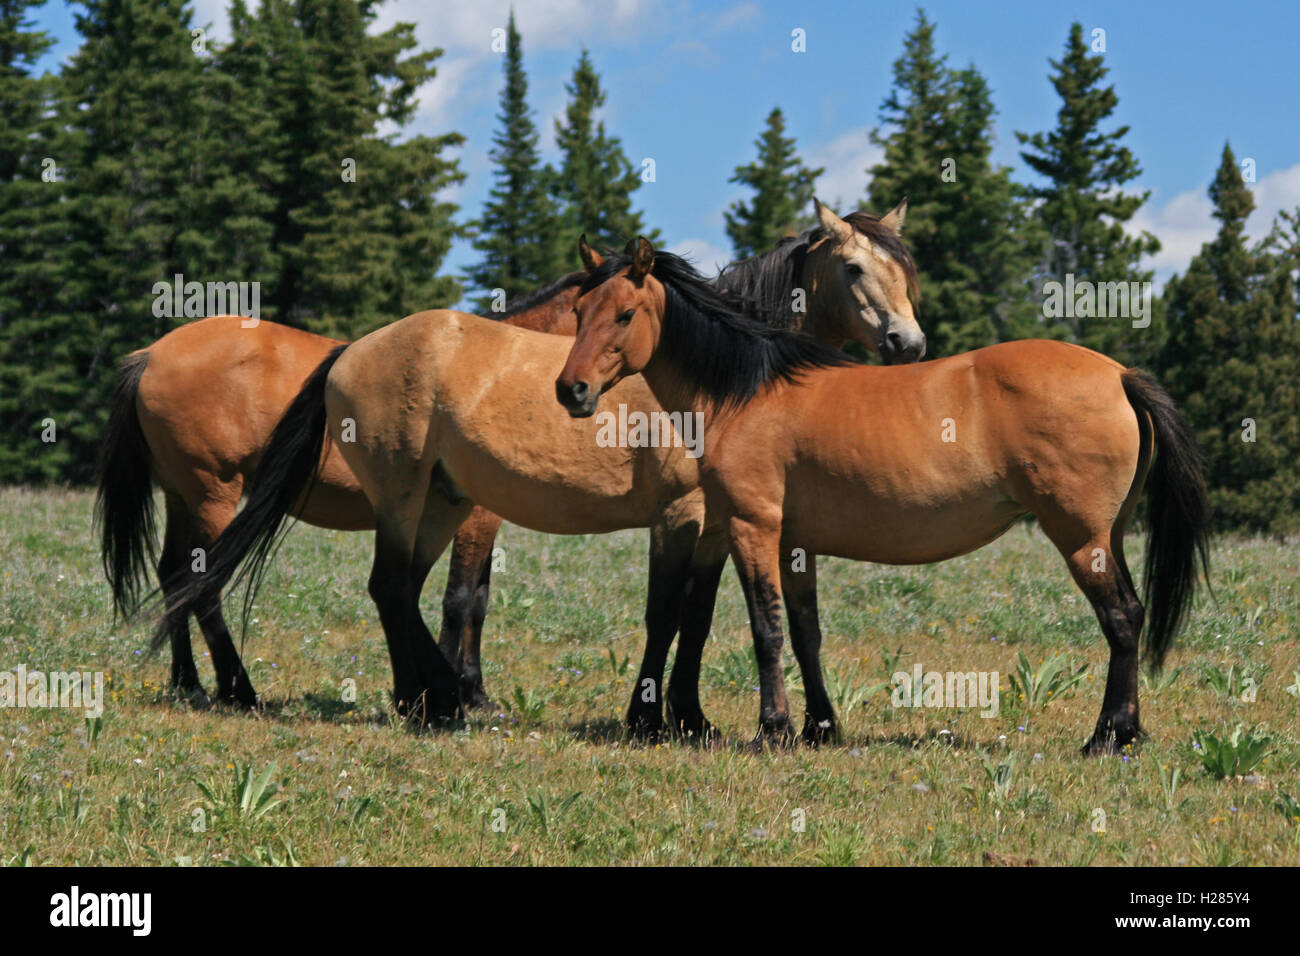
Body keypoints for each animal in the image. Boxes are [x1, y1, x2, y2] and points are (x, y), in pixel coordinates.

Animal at [98, 270, 587, 712]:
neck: (493, 371)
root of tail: (151, 354)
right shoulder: (476, 518)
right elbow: (461, 601)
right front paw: (452, 685)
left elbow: (479, 604)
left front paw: (473, 690)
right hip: (213, 495)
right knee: (204, 586)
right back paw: (240, 692)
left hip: (181, 497)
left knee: (173, 576)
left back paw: (190, 684)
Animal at [149, 197, 925, 728]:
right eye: (854, 267)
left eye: (906, 269)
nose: (909, 343)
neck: (711, 376)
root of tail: (351, 352)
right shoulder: (676, 516)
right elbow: (655, 613)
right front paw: (647, 716)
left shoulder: (712, 522)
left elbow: (696, 616)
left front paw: (689, 715)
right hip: (339, 498)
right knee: (356, 586)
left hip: (419, 502)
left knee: (372, 589)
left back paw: (410, 696)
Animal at [553, 234, 1211, 754]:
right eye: (580, 310)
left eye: (625, 314)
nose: (570, 390)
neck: (749, 389)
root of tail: (1119, 374)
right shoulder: (793, 542)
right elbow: (805, 630)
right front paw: (818, 728)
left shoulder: (751, 526)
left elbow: (765, 629)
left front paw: (774, 729)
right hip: (1108, 535)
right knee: (1130, 614)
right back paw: (1125, 733)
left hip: (1081, 540)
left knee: (1122, 619)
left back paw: (1107, 737)